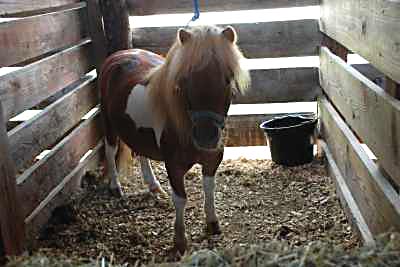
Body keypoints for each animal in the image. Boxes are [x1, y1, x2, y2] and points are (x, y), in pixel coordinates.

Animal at [99, 24, 250, 253]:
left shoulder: (212, 160)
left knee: (140, 152)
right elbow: (180, 199)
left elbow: (209, 189)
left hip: (138, 131)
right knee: (110, 150)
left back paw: (153, 186)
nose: (206, 138)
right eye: (185, 79)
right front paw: (180, 240)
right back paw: (116, 187)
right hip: (109, 125)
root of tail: (118, 55)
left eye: (228, 78)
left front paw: (212, 223)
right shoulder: (174, 166)